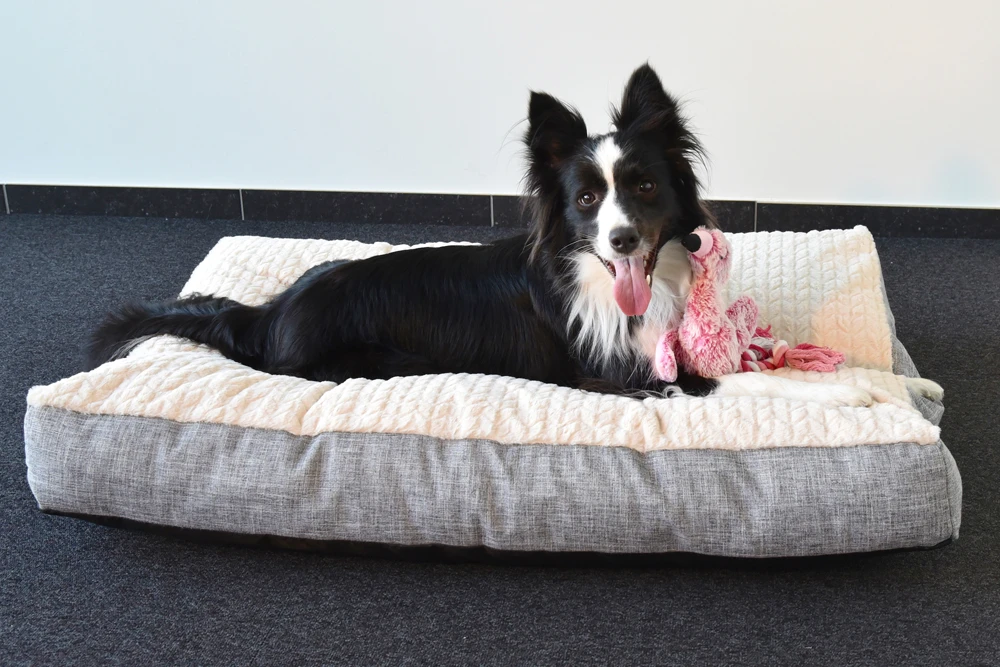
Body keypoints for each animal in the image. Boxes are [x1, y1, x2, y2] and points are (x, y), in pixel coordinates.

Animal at [90, 64, 940, 407]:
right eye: (587, 198)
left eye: (643, 187)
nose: (623, 241)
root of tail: (267, 313)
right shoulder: (619, 373)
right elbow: (741, 380)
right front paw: (857, 393)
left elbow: (772, 356)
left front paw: (884, 378)